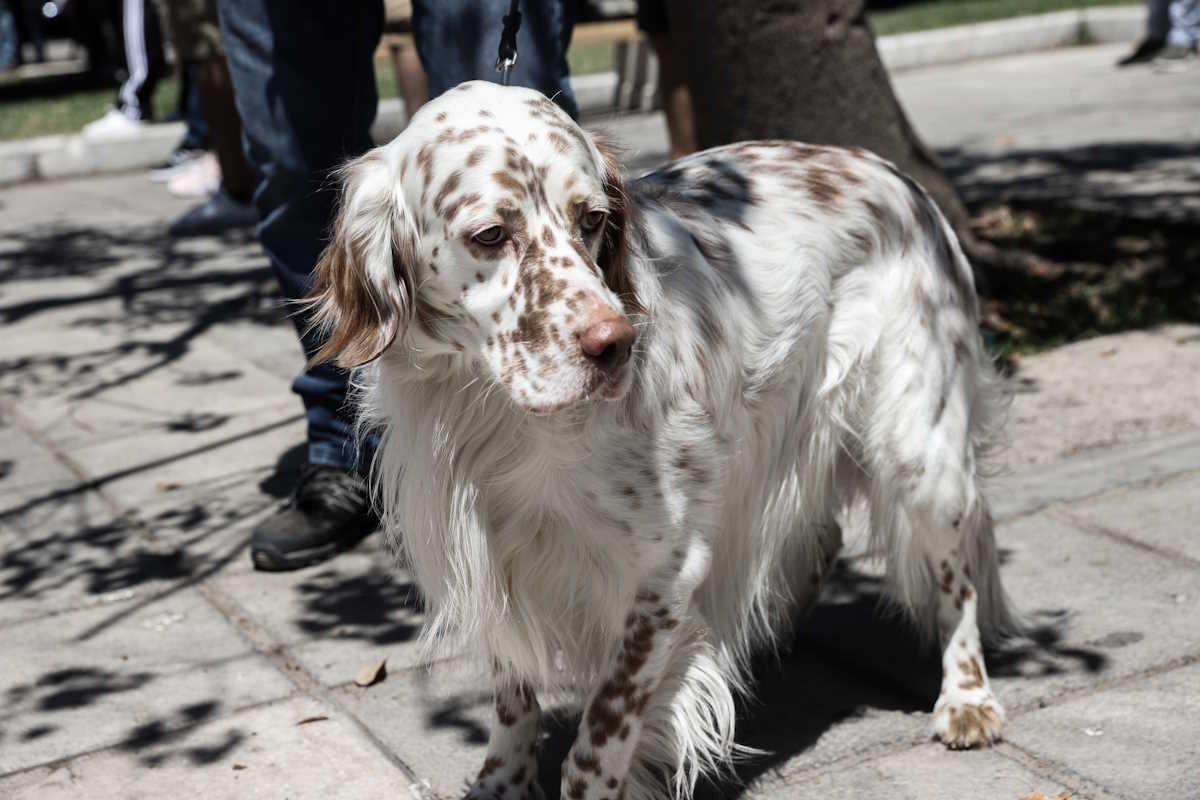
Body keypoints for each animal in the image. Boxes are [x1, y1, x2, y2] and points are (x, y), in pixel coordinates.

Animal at [304, 81, 1017, 800]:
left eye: (592, 219)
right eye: (489, 235)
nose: (614, 344)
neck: (497, 413)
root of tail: (899, 178)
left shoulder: (661, 574)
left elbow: (598, 740)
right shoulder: (492, 556)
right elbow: (513, 695)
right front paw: (501, 781)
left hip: (920, 451)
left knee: (957, 580)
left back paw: (966, 698)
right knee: (820, 537)